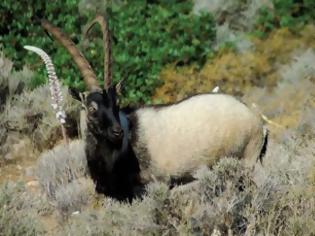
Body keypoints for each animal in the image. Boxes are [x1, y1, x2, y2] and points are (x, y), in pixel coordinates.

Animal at [41, 15, 270, 187]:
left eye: (116, 103)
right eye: (91, 108)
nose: (117, 132)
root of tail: (259, 123)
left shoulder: (156, 183)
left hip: (247, 159)